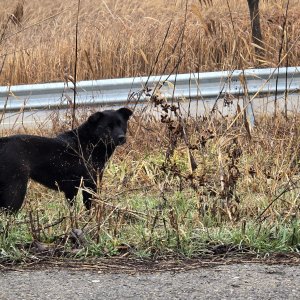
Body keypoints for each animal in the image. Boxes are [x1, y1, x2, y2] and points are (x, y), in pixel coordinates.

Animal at [0, 108, 132, 213]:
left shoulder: (71, 189)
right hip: (16, 190)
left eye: (121, 124)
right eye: (108, 127)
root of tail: (3, 142)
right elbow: (89, 207)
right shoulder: (89, 184)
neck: (89, 142)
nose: (122, 138)